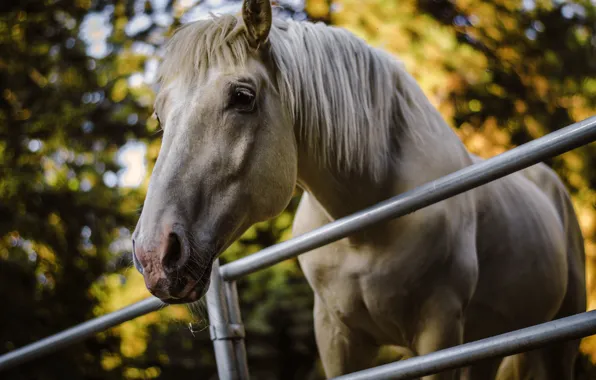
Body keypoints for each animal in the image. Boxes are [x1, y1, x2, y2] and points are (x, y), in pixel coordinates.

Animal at [132, 1, 588, 378]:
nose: (154, 255)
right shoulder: (336, 336)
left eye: (243, 96)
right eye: (159, 116)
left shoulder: (440, 331)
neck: (365, 225)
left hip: (554, 342)